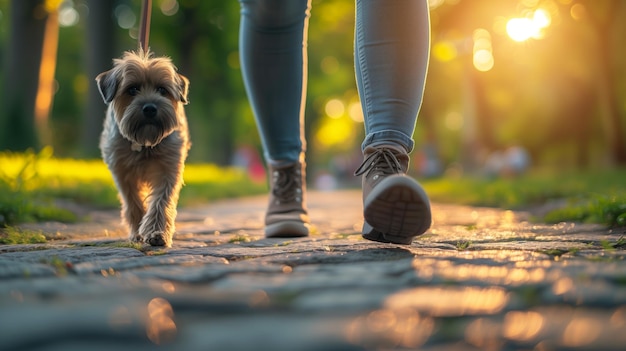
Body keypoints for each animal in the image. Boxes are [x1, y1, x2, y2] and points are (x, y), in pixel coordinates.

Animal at [95, 49, 190, 249]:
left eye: (162, 89)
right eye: (132, 89)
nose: (150, 108)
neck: (145, 142)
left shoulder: (168, 168)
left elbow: (161, 201)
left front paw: (157, 233)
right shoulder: (122, 171)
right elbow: (133, 202)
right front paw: (138, 232)